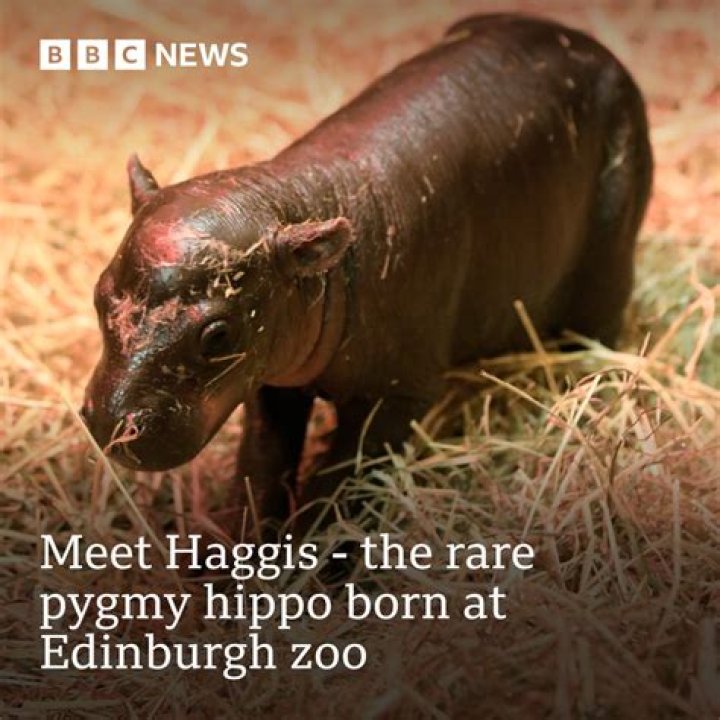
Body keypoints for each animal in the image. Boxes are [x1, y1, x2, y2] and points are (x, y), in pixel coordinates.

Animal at [82, 14, 652, 534]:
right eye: (99, 295)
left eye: (218, 334)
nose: (110, 423)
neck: (298, 205)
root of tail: (581, 39)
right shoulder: (274, 377)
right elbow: (262, 463)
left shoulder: (399, 393)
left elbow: (342, 479)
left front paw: (314, 559)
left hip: (607, 258)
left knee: (598, 326)